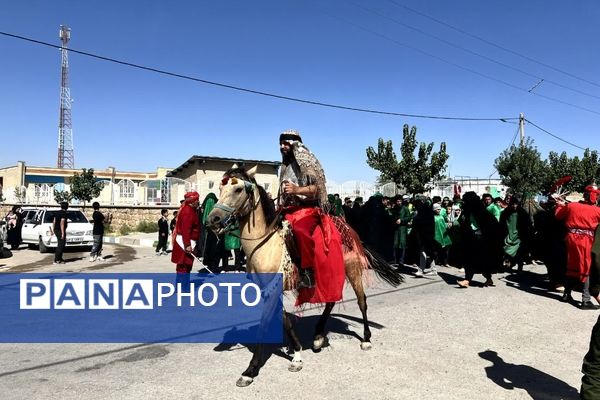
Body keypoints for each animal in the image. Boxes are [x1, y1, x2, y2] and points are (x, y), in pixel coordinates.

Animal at [207, 166, 404, 388]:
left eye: (238, 189)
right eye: (220, 187)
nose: (212, 220)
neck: (265, 244)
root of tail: (348, 229)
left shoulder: (272, 292)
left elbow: (264, 325)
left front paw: (250, 370)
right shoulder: (271, 291)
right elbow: (285, 321)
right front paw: (297, 355)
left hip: (352, 270)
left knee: (362, 301)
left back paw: (366, 339)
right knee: (330, 302)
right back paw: (318, 336)